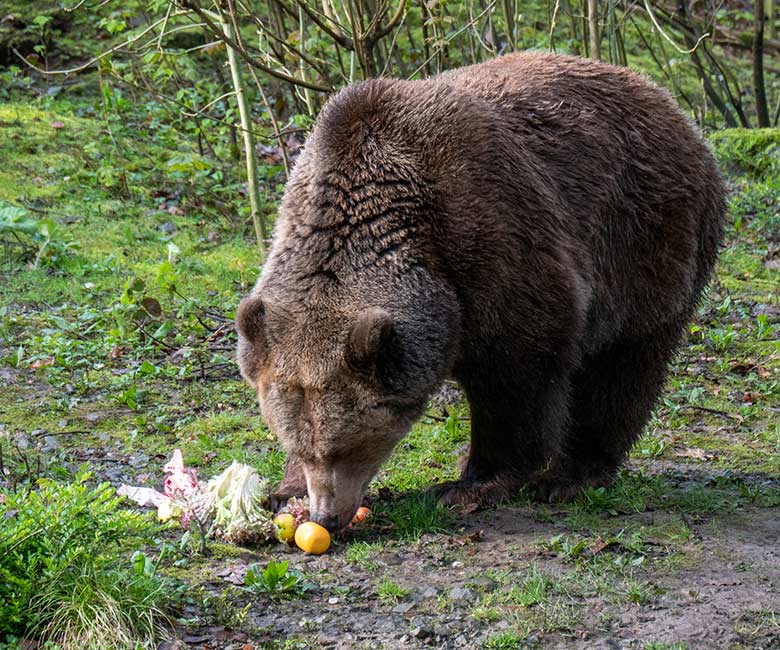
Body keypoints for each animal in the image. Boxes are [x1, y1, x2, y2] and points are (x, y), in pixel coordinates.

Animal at [236, 53, 724, 528]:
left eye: (348, 446)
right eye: (300, 445)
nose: (327, 516)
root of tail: (670, 106)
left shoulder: (495, 243)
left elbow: (515, 379)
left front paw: (472, 483)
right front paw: (285, 491)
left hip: (645, 241)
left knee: (622, 366)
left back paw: (571, 475)